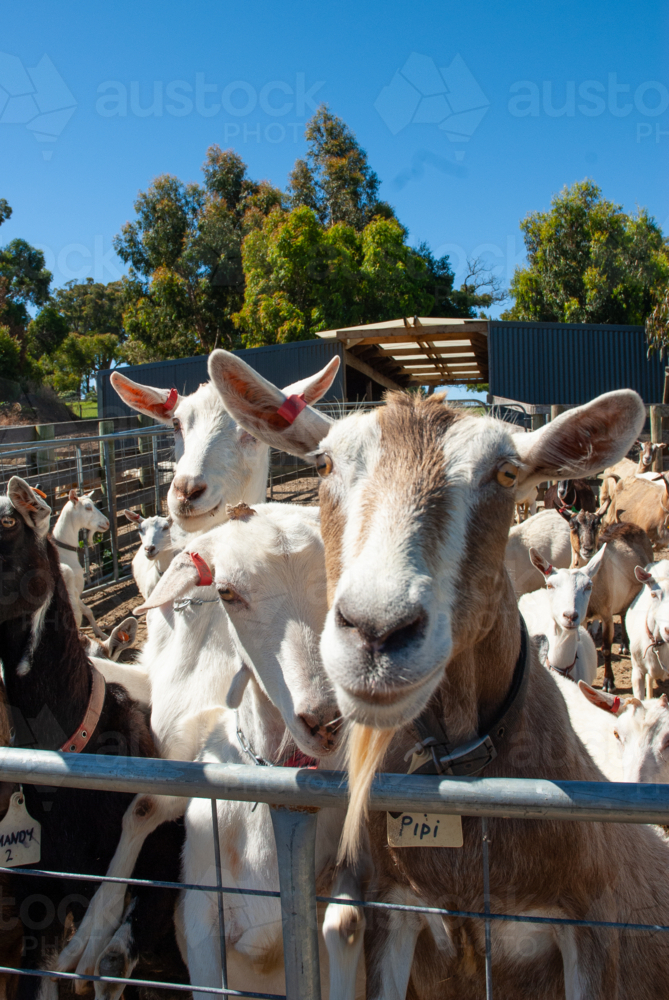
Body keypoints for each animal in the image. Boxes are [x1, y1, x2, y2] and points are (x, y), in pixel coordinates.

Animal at [53, 489, 109, 638]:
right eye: (88, 507)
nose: (107, 522)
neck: (64, 552)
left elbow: (88, 611)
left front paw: (100, 633)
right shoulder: (74, 591)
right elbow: (87, 611)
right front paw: (102, 634)